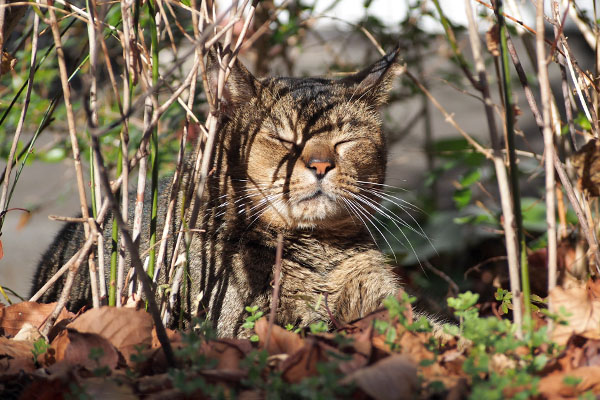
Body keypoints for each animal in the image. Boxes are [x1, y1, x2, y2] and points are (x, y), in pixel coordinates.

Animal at [31, 48, 404, 340]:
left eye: (345, 141)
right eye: (284, 139)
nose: (321, 164)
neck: (320, 252)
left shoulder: (379, 302)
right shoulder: (241, 322)